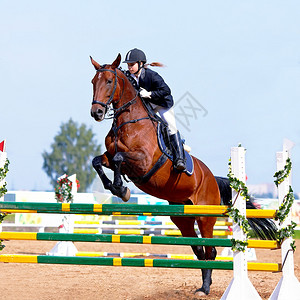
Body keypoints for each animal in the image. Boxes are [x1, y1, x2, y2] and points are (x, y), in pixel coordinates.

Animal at [89, 53, 276, 296]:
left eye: (109, 81)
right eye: (93, 82)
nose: (96, 113)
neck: (129, 121)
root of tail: (212, 179)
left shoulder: (143, 161)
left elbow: (121, 158)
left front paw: (122, 189)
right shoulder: (109, 157)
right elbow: (98, 161)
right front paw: (115, 187)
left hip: (205, 217)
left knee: (210, 250)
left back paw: (205, 288)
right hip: (181, 218)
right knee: (199, 250)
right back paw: (203, 286)